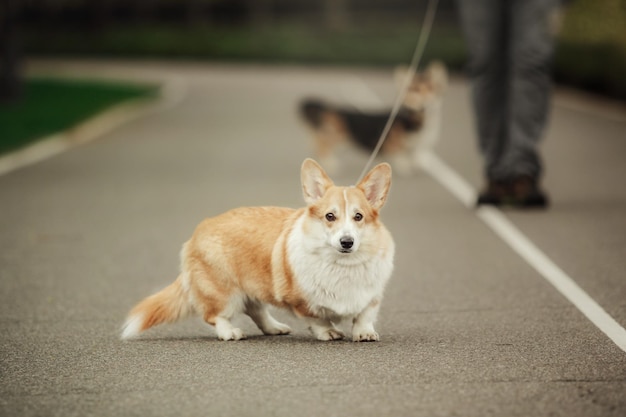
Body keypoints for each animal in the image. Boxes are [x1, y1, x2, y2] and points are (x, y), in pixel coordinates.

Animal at [121, 159, 392, 342]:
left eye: (358, 216)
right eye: (330, 216)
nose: (347, 242)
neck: (342, 266)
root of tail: (198, 231)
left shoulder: (373, 296)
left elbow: (364, 314)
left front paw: (364, 332)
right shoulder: (301, 301)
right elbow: (318, 317)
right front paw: (329, 331)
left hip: (254, 286)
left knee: (255, 309)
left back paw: (274, 328)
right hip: (224, 293)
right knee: (215, 315)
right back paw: (230, 332)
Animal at [296, 60, 444, 174]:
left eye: (431, 88)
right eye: (415, 90)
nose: (427, 103)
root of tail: (331, 108)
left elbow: (415, 154)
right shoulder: (396, 144)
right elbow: (400, 155)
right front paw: (404, 167)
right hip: (336, 136)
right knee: (322, 145)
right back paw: (330, 163)